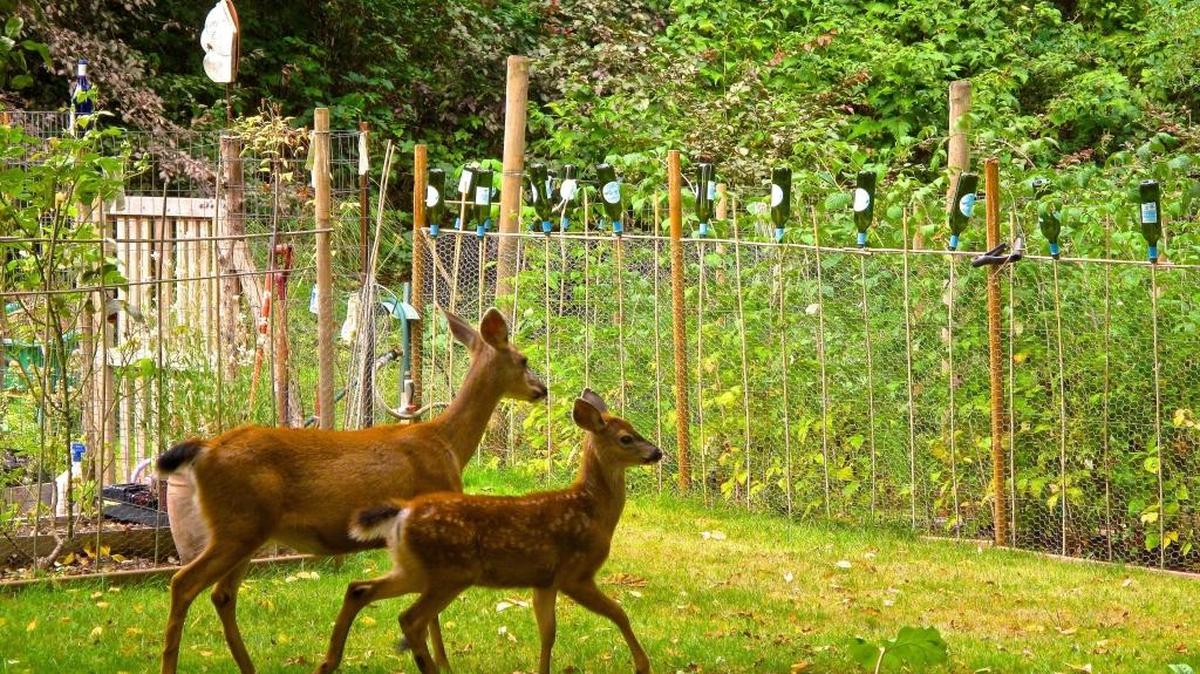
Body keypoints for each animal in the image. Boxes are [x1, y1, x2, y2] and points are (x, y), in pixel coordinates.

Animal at [154, 308, 546, 674]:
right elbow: (430, 614)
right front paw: (445, 663)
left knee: (222, 595)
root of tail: (205, 450)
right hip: (238, 526)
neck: (446, 443)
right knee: (184, 583)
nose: (541, 389)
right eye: (523, 359)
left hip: (248, 531)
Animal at [317, 388, 661, 674]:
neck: (591, 511)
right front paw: (642, 665)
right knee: (410, 618)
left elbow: (548, 634)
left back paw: (328, 662)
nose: (657, 452)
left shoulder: (544, 581)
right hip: (452, 571)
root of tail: (403, 512)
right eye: (626, 438)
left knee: (360, 589)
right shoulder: (575, 573)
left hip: (415, 569)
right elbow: (618, 612)